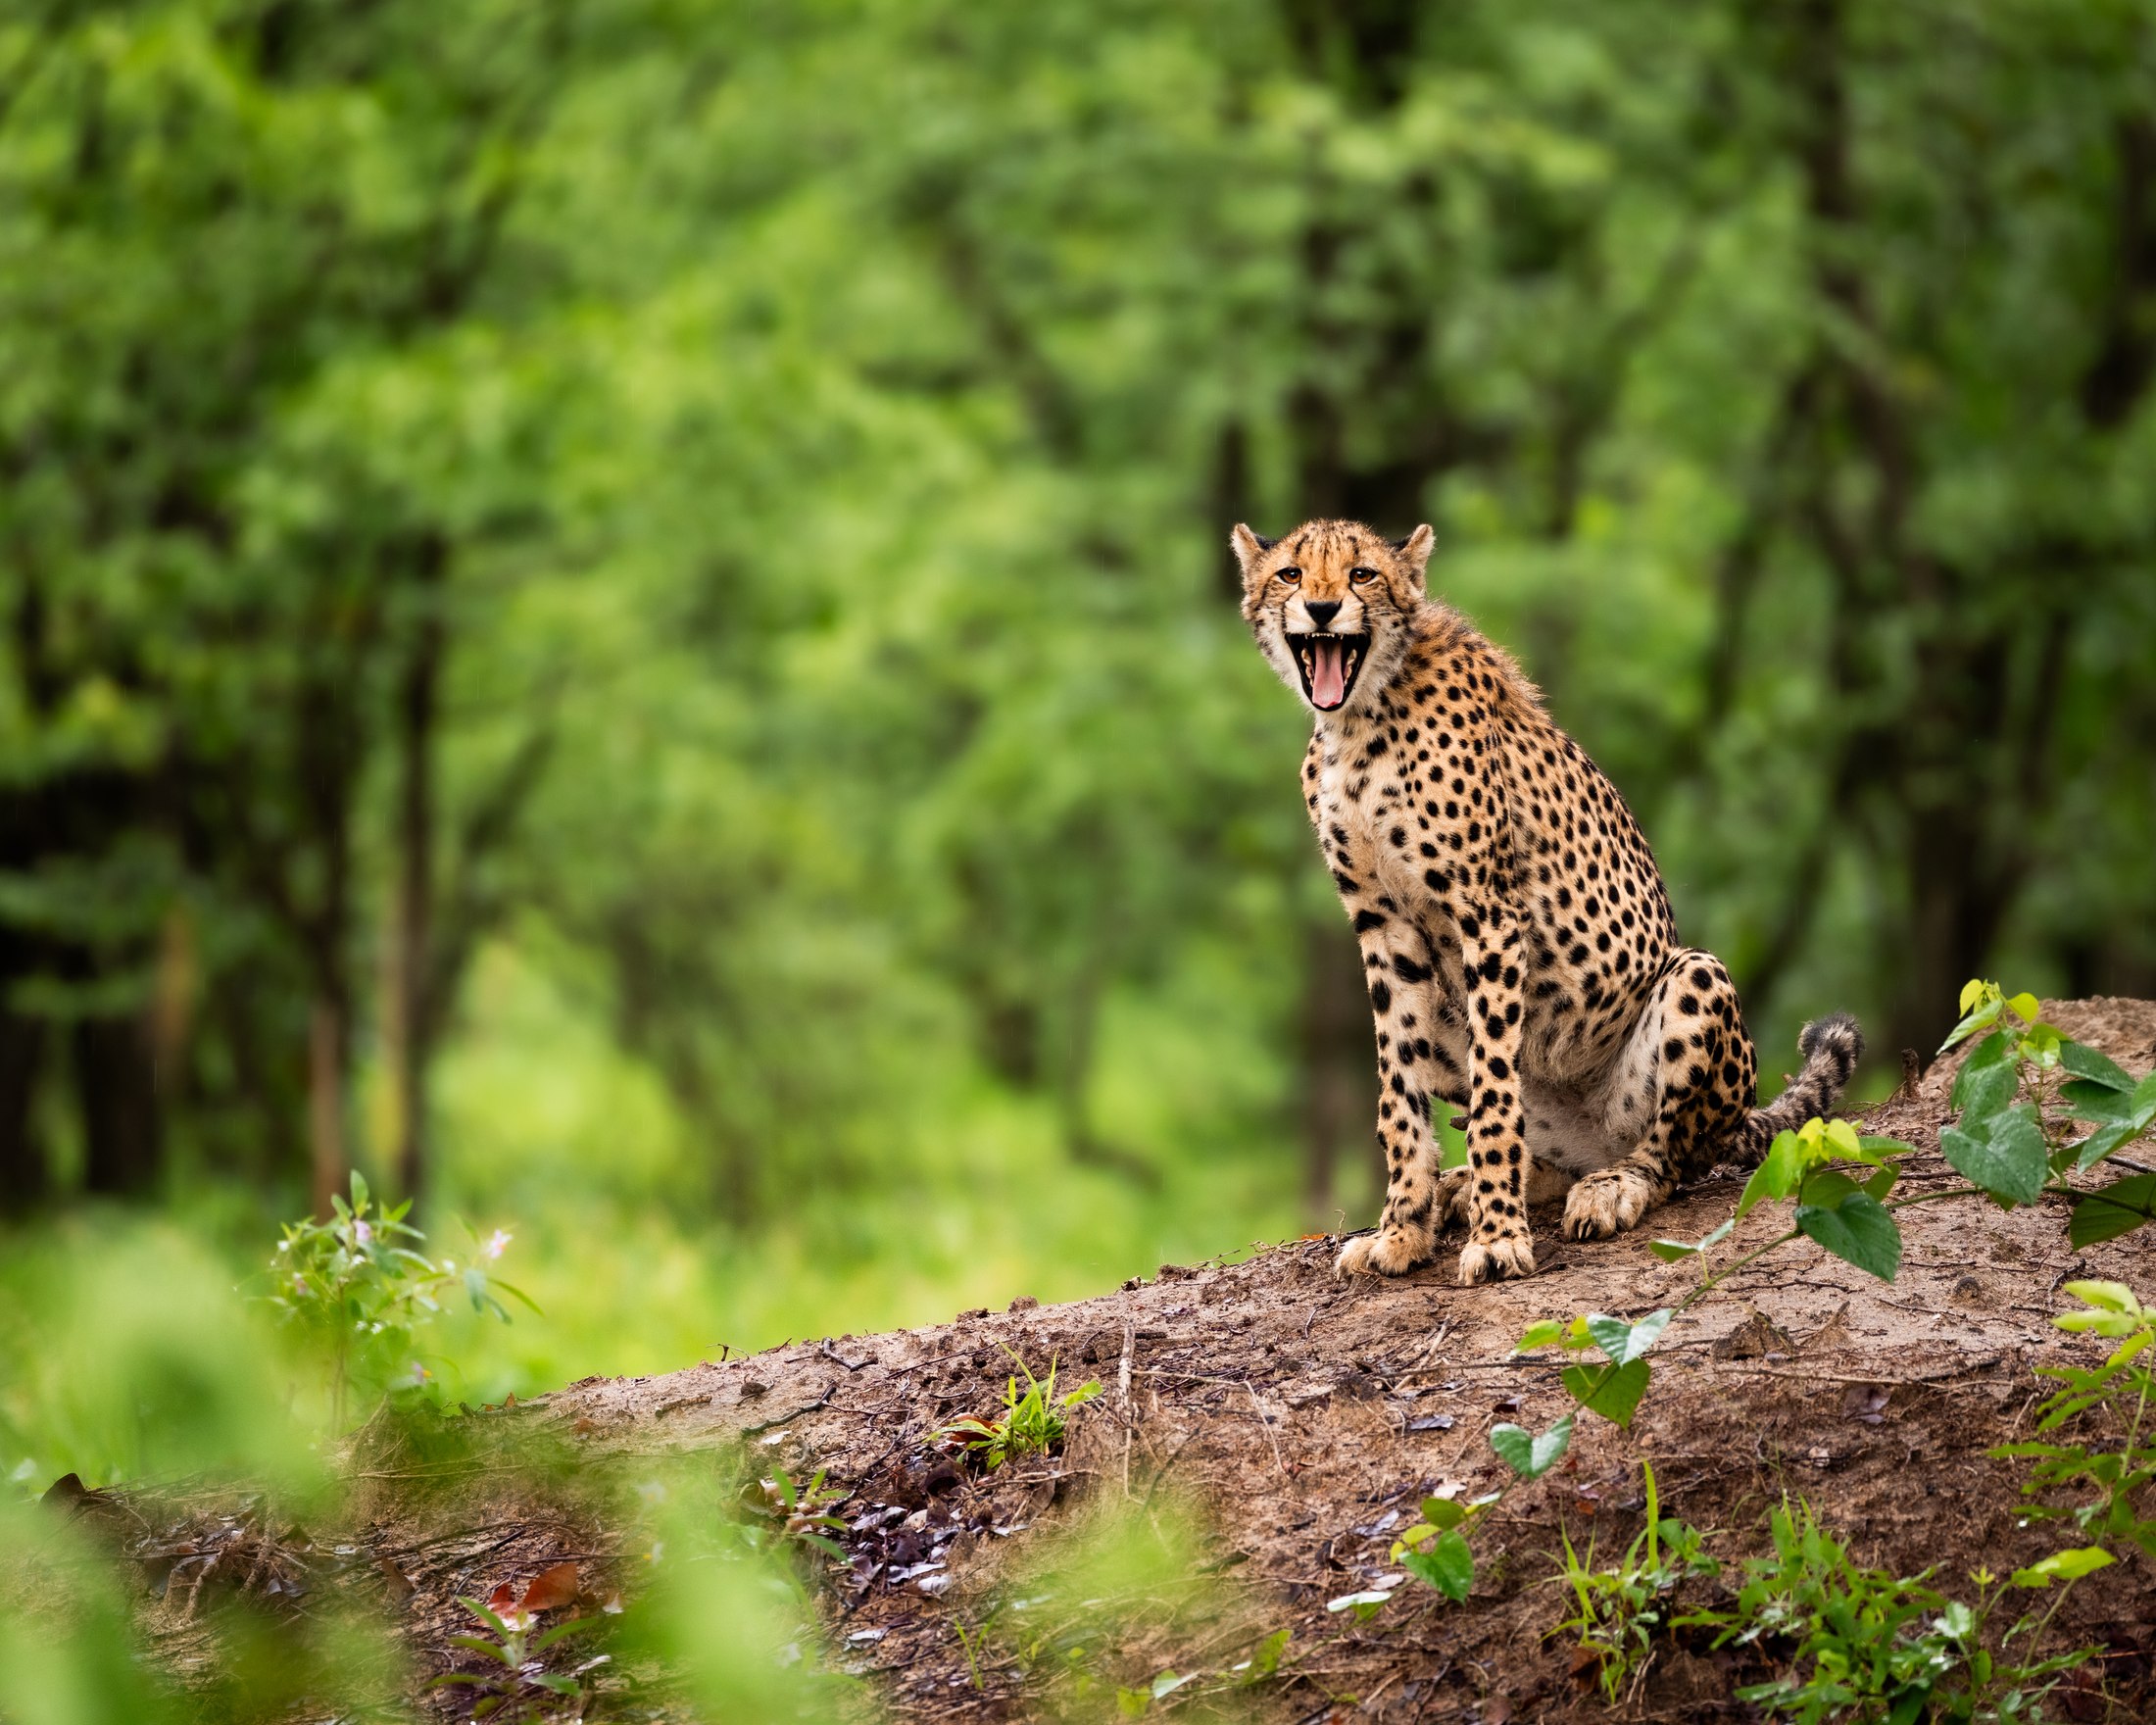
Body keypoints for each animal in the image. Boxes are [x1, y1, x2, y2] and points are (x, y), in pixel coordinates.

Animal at [1234, 516, 1863, 1285]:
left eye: (1362, 575)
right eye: (1291, 574)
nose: (1322, 609)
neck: (1357, 722)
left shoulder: (1488, 914)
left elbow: (1497, 1096)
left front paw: (1499, 1239)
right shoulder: (1382, 925)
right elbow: (1397, 1092)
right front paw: (1402, 1230)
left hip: (1695, 980)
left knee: (1671, 1155)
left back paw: (1604, 1188)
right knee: (1543, 1148)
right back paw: (1476, 1187)